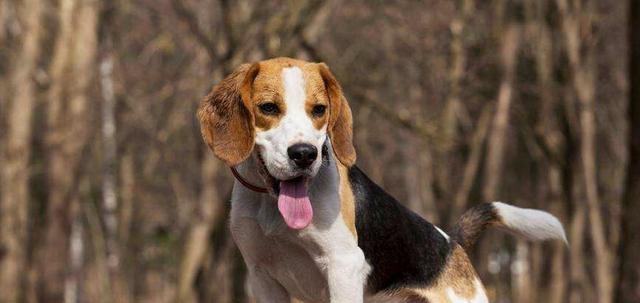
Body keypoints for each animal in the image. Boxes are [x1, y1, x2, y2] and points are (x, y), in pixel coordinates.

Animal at [196, 57, 564, 303]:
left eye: (319, 110)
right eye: (269, 108)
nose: (304, 154)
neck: (271, 207)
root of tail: (452, 242)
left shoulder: (343, 267)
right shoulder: (262, 276)